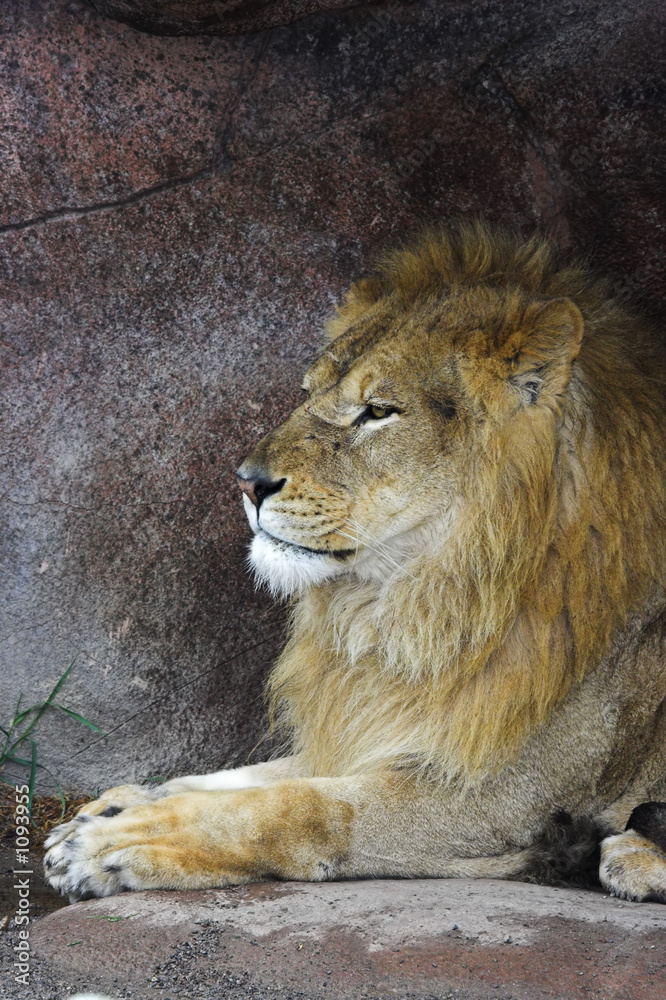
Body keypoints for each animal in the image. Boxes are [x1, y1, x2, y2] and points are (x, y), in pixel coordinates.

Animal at [45, 220, 666, 903]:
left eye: (377, 411)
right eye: (306, 394)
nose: (247, 482)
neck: (409, 605)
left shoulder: (500, 798)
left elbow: (300, 805)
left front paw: (117, 840)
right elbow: (262, 773)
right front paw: (116, 805)